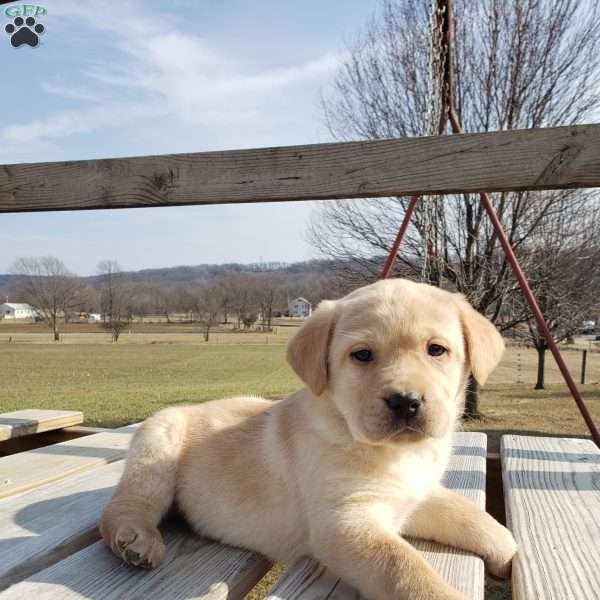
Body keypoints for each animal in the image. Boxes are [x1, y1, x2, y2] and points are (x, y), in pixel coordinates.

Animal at [102, 278, 516, 600]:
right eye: (362, 355)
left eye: (436, 350)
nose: (405, 402)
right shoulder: (344, 522)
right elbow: (405, 568)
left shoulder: (416, 494)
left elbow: (470, 516)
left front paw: (508, 552)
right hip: (157, 449)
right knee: (122, 508)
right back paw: (135, 540)